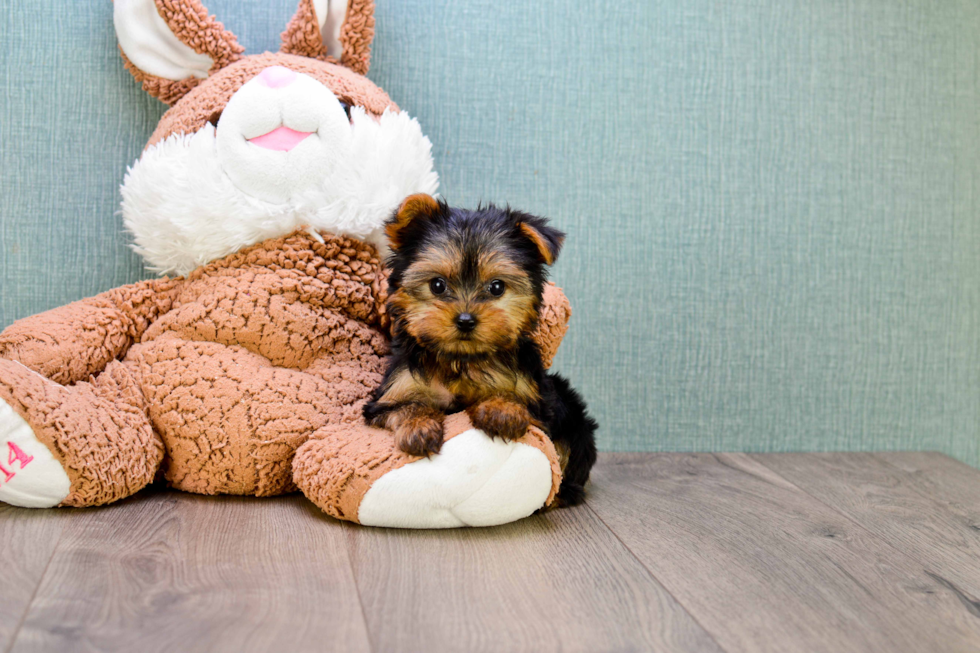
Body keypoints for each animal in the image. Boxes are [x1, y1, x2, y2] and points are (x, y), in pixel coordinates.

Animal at [364, 192, 596, 504]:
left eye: (497, 287)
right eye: (437, 285)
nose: (465, 320)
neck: (463, 360)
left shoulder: (539, 403)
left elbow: (519, 403)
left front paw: (502, 410)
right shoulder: (390, 395)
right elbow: (406, 406)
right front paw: (419, 428)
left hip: (575, 421)